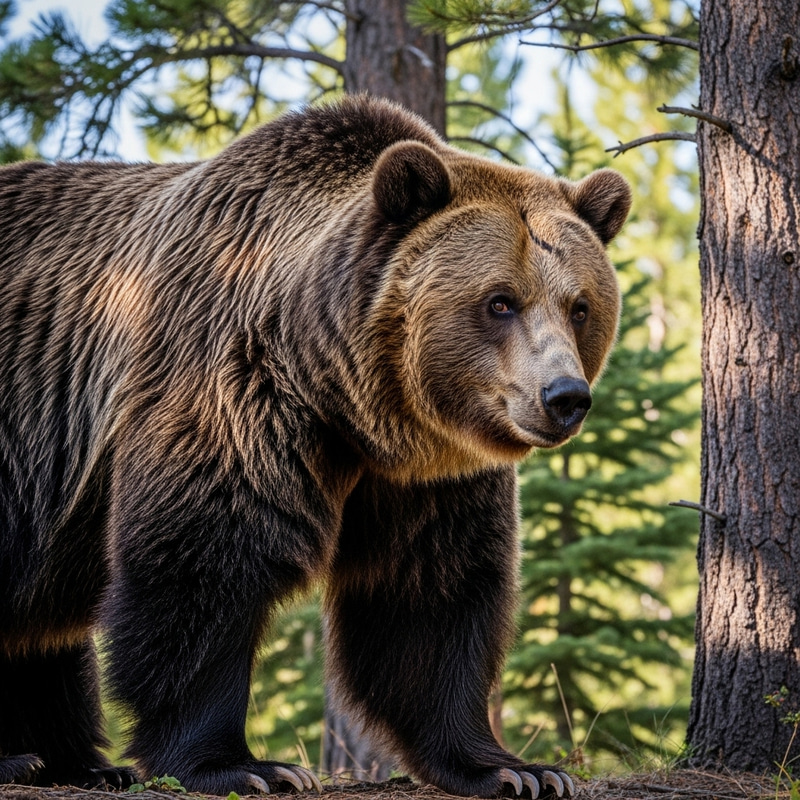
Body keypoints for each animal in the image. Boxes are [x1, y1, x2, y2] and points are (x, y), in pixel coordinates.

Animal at [0, 94, 630, 797]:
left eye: (579, 305)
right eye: (500, 301)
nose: (565, 396)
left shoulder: (427, 474)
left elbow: (430, 594)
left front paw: (513, 768)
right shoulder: (228, 391)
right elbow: (204, 564)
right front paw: (244, 765)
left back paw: (73, 760)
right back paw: (26, 759)